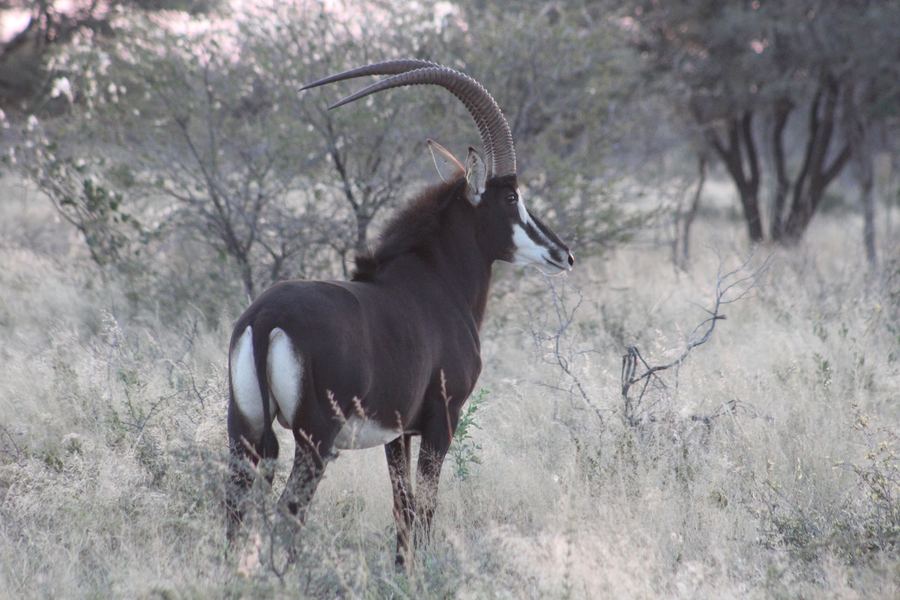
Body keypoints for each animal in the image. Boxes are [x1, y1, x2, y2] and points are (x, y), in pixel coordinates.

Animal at [226, 59, 574, 565]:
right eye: (511, 198)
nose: (564, 254)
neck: (434, 279)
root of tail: (265, 318)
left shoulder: (397, 433)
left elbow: (402, 508)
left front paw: (401, 568)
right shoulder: (440, 421)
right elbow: (425, 508)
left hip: (245, 429)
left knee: (235, 508)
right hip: (315, 439)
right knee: (290, 510)